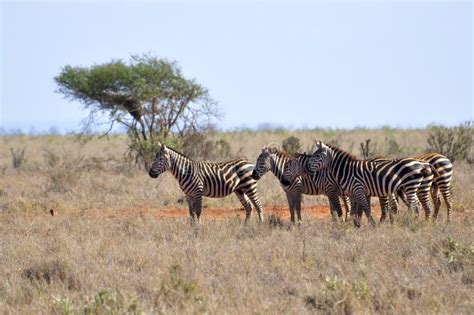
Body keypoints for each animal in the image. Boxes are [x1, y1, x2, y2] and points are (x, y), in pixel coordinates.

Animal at [308, 141, 436, 227]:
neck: (347, 171)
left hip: (411, 186)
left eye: (317, 156)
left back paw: (415, 224)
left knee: (417, 206)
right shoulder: (352, 194)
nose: (308, 169)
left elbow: (366, 208)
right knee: (423, 206)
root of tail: (422, 163)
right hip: (419, 187)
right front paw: (355, 225)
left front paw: (372, 224)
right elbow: (354, 211)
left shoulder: (359, 190)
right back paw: (424, 224)